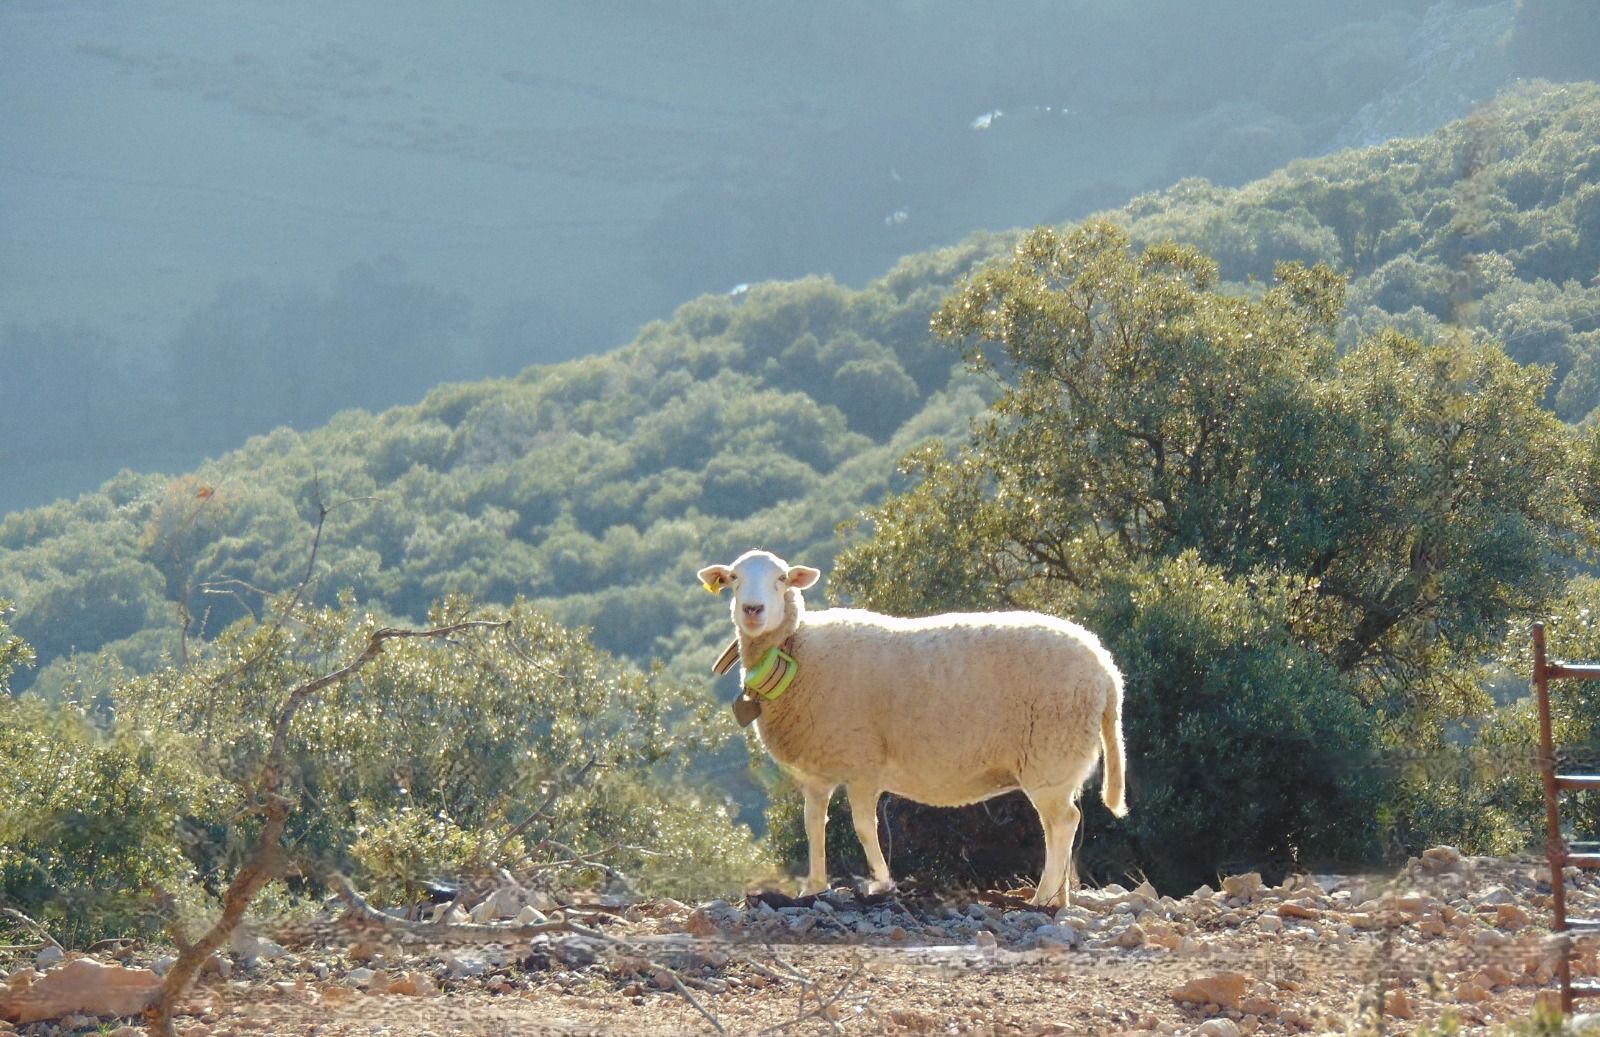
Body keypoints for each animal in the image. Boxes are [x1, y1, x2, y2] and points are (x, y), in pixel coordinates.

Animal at [697, 548, 1127, 907]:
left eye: (782, 578)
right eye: (733, 578)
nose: (752, 610)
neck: (795, 652)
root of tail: (1107, 671)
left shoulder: (863, 763)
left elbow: (864, 827)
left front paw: (883, 882)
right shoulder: (816, 773)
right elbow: (813, 826)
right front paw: (815, 887)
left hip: (1051, 754)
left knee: (1063, 824)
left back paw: (1043, 898)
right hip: (1060, 762)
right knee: (1060, 826)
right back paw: (1059, 897)